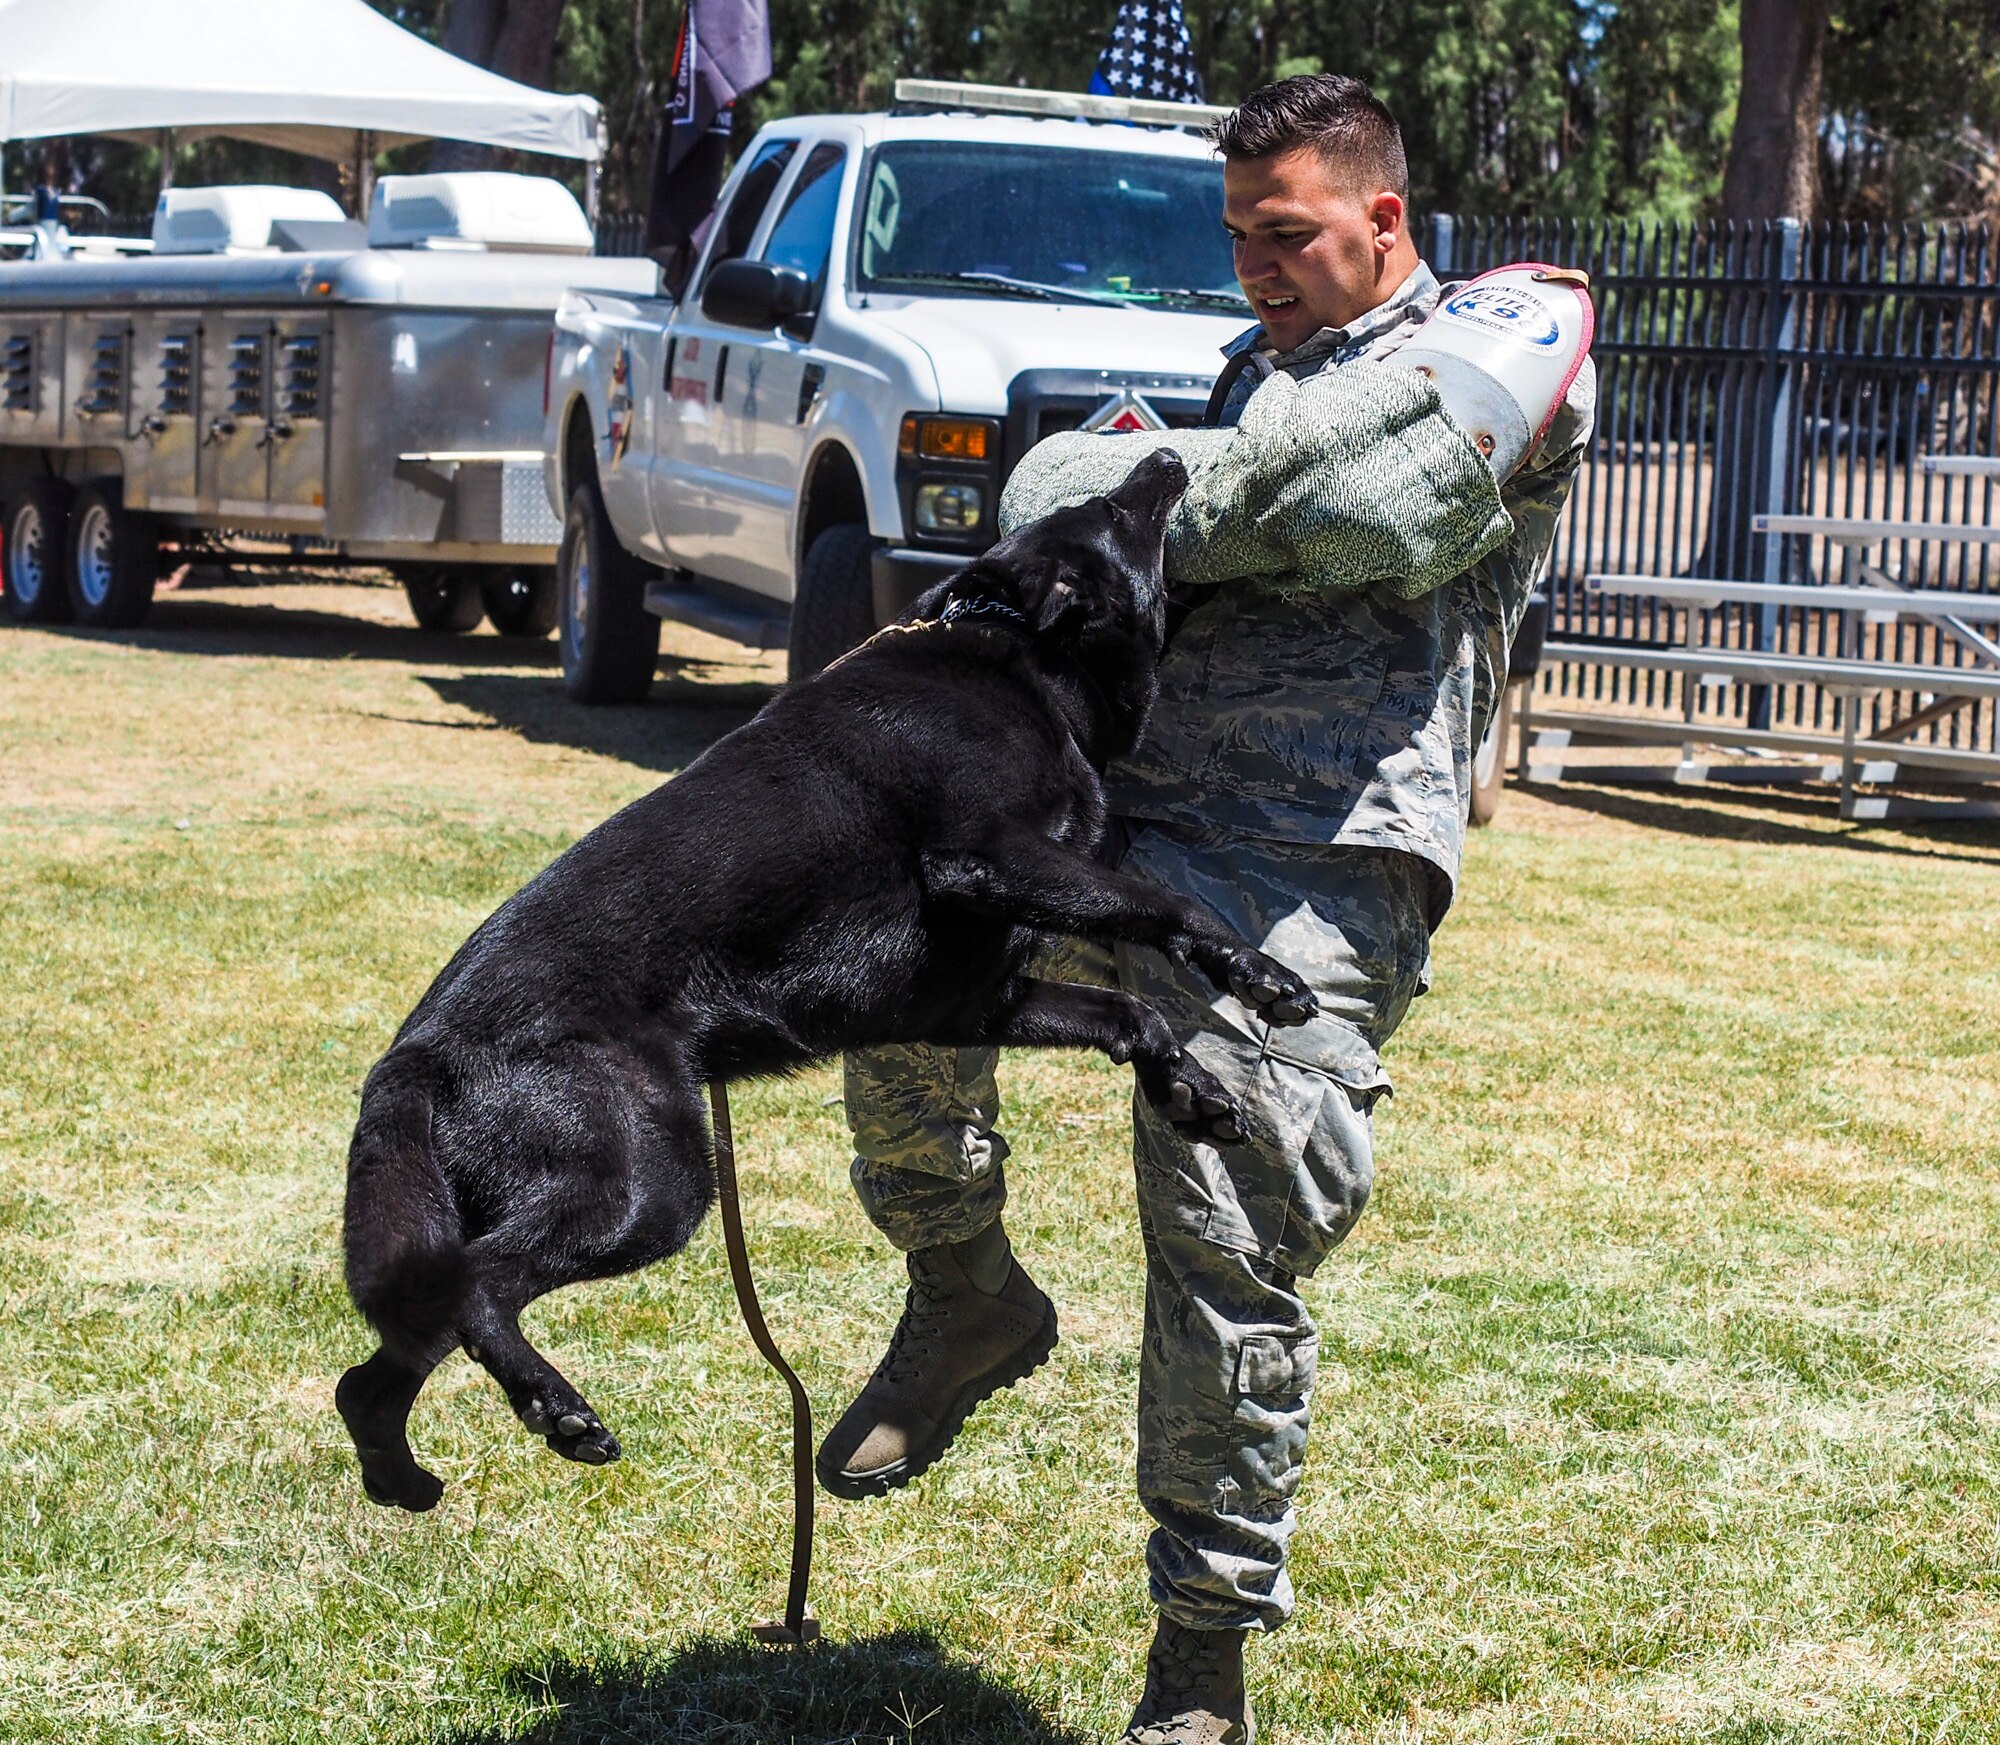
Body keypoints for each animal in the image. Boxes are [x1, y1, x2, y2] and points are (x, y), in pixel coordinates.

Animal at [336, 450, 1320, 1512]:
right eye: (1117, 509)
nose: (1169, 455)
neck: (1019, 655)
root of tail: (412, 1055)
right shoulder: (987, 857)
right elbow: (1166, 907)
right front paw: (1263, 976)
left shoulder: (971, 996)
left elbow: (1131, 1012)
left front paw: (1194, 1089)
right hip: (650, 1184)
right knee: (475, 1287)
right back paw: (557, 1407)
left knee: (376, 1368)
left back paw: (402, 1475)